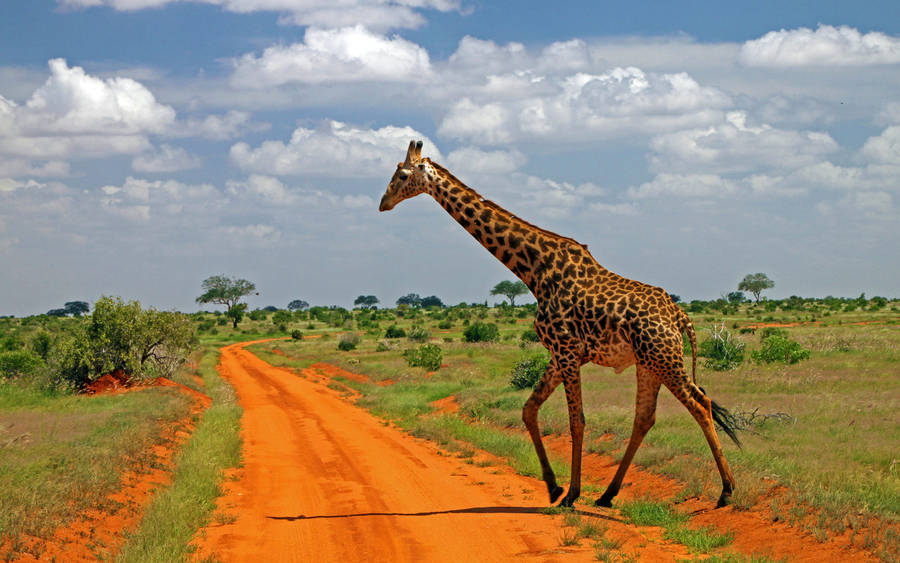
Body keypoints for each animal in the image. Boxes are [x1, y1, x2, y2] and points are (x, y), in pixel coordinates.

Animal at [379, 141, 740, 508]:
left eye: (403, 175)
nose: (383, 203)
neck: (533, 271)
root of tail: (680, 316)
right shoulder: (559, 353)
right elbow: (529, 409)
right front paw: (553, 487)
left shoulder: (566, 350)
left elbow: (576, 420)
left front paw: (571, 493)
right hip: (648, 363)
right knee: (645, 417)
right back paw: (607, 495)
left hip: (663, 357)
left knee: (701, 403)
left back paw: (726, 490)